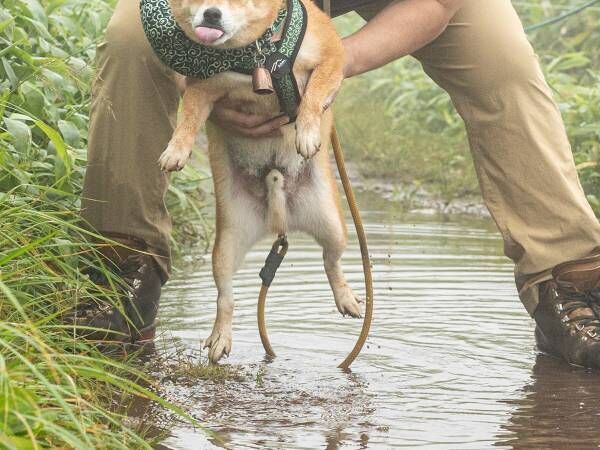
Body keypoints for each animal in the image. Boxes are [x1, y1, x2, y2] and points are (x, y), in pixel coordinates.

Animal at [157, 0, 360, 362]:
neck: (257, 53)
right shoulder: (203, 88)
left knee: (331, 261)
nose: (211, 13)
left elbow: (314, 93)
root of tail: (280, 217)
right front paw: (175, 150)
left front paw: (307, 131)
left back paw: (346, 297)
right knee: (226, 297)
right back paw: (220, 337)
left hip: (334, 227)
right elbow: (189, 116)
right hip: (226, 247)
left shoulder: (331, 56)